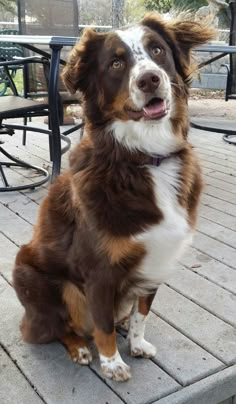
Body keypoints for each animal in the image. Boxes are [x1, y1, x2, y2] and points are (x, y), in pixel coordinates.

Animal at [13, 14, 215, 382]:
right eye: (116, 63)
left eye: (157, 50)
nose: (150, 80)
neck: (144, 157)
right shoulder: (99, 271)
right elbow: (102, 324)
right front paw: (112, 363)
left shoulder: (157, 258)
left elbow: (141, 312)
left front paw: (135, 344)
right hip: (34, 275)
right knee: (55, 327)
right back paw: (79, 348)